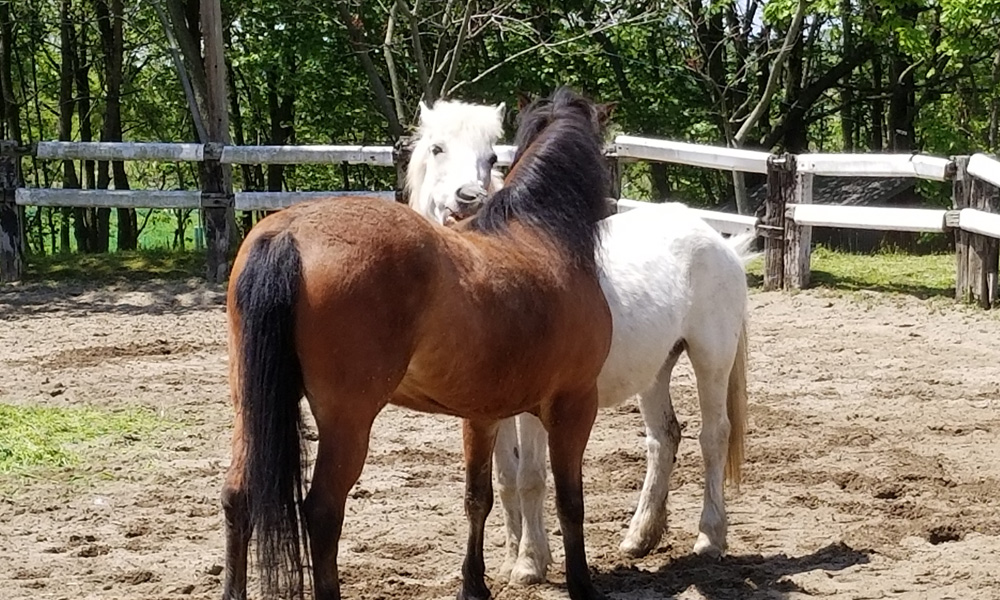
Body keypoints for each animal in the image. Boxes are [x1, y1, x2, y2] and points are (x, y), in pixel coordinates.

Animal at [222, 89, 616, 600]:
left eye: (493, 157)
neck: (542, 232)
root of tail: (289, 233)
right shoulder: (574, 404)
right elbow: (571, 500)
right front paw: (582, 585)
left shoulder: (482, 414)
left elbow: (477, 498)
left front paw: (474, 585)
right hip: (347, 421)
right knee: (322, 511)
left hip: (248, 404)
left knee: (238, 496)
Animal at [406, 99, 752, 584]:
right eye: (436, 148)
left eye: (492, 156)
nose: (468, 198)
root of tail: (719, 242)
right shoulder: (489, 409)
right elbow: (505, 477)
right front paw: (514, 555)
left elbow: (531, 476)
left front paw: (530, 562)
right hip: (654, 370)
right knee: (663, 438)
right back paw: (640, 536)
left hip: (711, 359)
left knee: (713, 435)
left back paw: (709, 537)